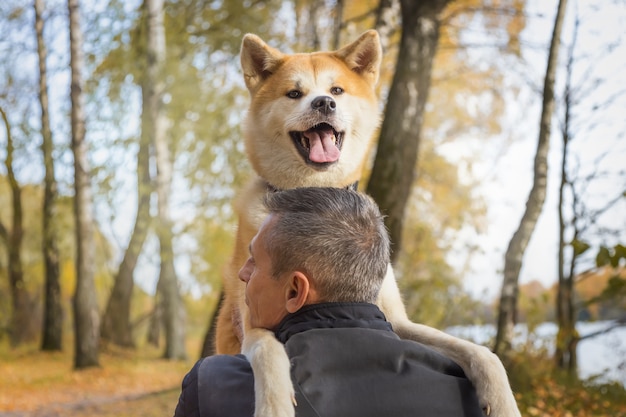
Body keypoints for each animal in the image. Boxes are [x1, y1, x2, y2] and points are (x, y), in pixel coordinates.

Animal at [212, 30, 520, 416]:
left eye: (337, 89)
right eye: (294, 93)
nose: (324, 103)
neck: (316, 193)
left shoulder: (396, 321)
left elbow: (479, 351)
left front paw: (503, 400)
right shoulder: (252, 323)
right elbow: (268, 353)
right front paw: (275, 405)